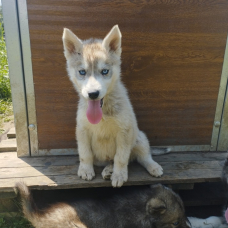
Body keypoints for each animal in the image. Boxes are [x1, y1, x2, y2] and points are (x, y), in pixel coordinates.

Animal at [62, 25, 167, 188]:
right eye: (82, 72)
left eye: (105, 71)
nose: (93, 94)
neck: (103, 113)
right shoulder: (82, 130)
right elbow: (85, 154)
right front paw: (85, 170)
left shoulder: (124, 131)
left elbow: (121, 158)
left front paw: (119, 175)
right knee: (111, 161)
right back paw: (107, 170)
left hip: (139, 137)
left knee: (143, 157)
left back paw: (152, 167)